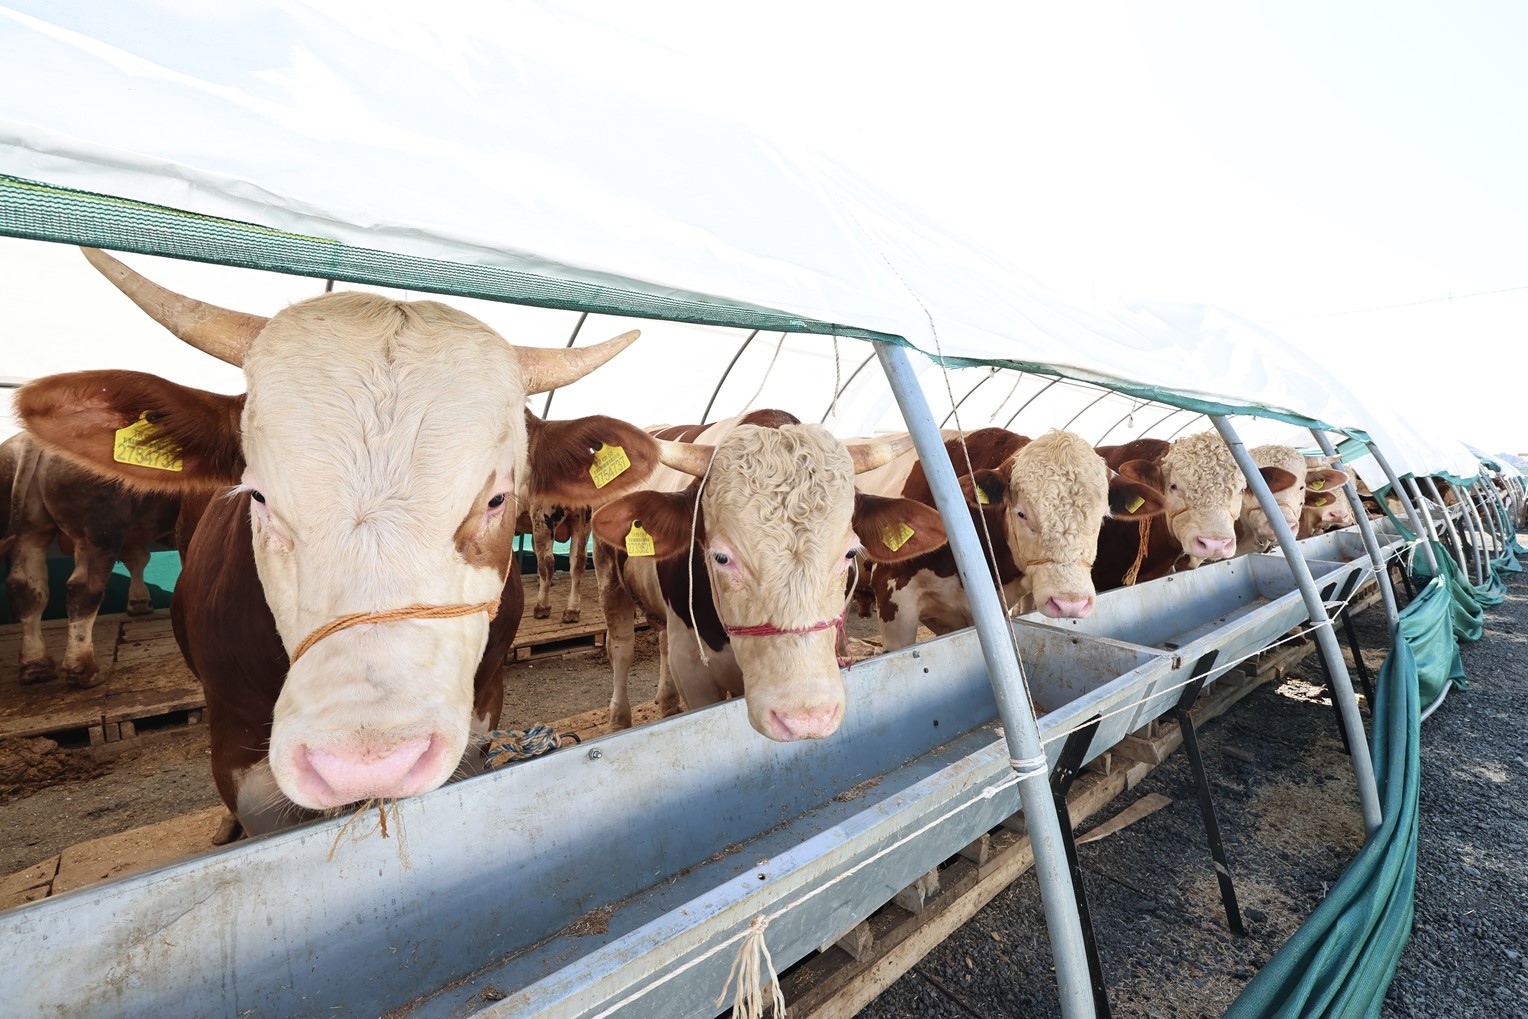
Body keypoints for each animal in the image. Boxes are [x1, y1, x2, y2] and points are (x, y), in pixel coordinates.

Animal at [3, 427, 177, 690]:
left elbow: (138, 559)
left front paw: (139, 603)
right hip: (100, 530)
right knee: (83, 589)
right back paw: (83, 669)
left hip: (31, 529)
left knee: (27, 588)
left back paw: (36, 666)